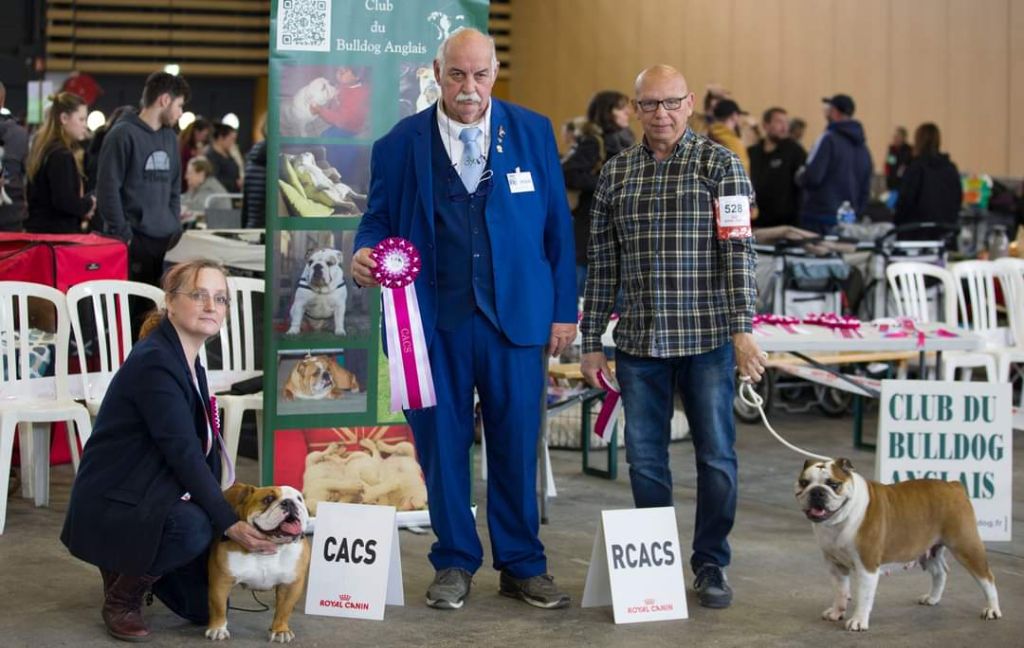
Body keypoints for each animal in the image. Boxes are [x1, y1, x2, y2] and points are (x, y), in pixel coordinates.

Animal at [206, 484, 311, 643]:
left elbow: (284, 609)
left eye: (298, 499)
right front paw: (218, 628)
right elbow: (219, 606)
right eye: (268, 499)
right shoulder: (221, 580)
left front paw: (280, 630)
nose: (290, 502)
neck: (271, 546)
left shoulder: (291, 584)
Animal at [794, 458, 1001, 632]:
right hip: (929, 551)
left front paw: (858, 621)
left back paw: (992, 609)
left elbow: (863, 597)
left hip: (966, 547)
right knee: (940, 572)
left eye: (833, 484)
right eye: (804, 483)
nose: (816, 491)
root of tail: (954, 486)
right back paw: (932, 598)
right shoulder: (835, 565)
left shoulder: (867, 567)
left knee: (987, 578)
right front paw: (836, 612)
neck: (841, 517)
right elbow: (840, 591)